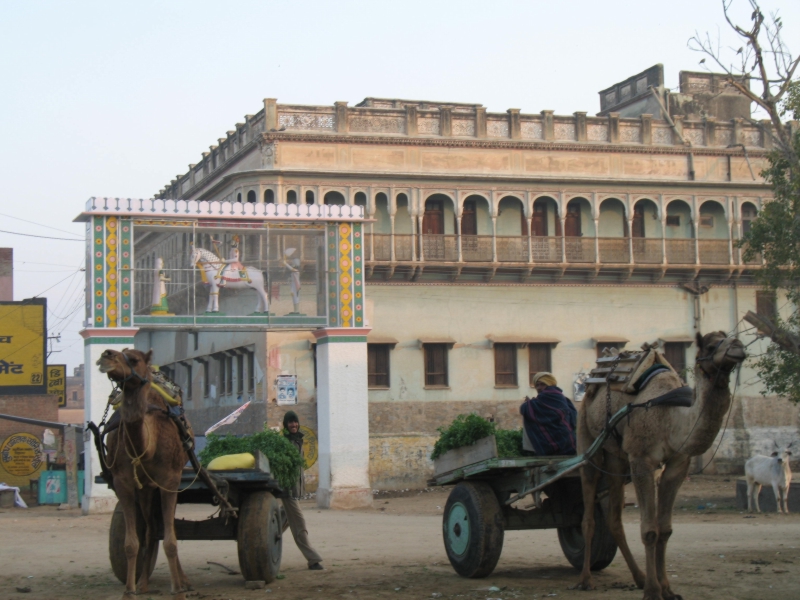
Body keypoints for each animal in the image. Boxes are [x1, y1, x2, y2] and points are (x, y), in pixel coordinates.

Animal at [95, 350, 191, 596]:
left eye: (135, 360)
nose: (106, 355)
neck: (147, 448)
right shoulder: (123, 484)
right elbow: (131, 543)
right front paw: (129, 591)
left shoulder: (170, 480)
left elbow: (171, 541)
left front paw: (178, 590)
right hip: (147, 490)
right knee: (150, 530)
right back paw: (144, 583)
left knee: (167, 529)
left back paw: (182, 580)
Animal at [576, 332, 744, 600]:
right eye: (710, 345)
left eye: (729, 337)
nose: (738, 347)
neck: (672, 417)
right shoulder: (641, 459)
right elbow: (649, 530)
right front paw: (653, 591)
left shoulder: (678, 464)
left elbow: (665, 529)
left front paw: (667, 588)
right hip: (587, 440)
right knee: (588, 517)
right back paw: (585, 579)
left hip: (617, 458)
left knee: (614, 519)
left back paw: (639, 577)